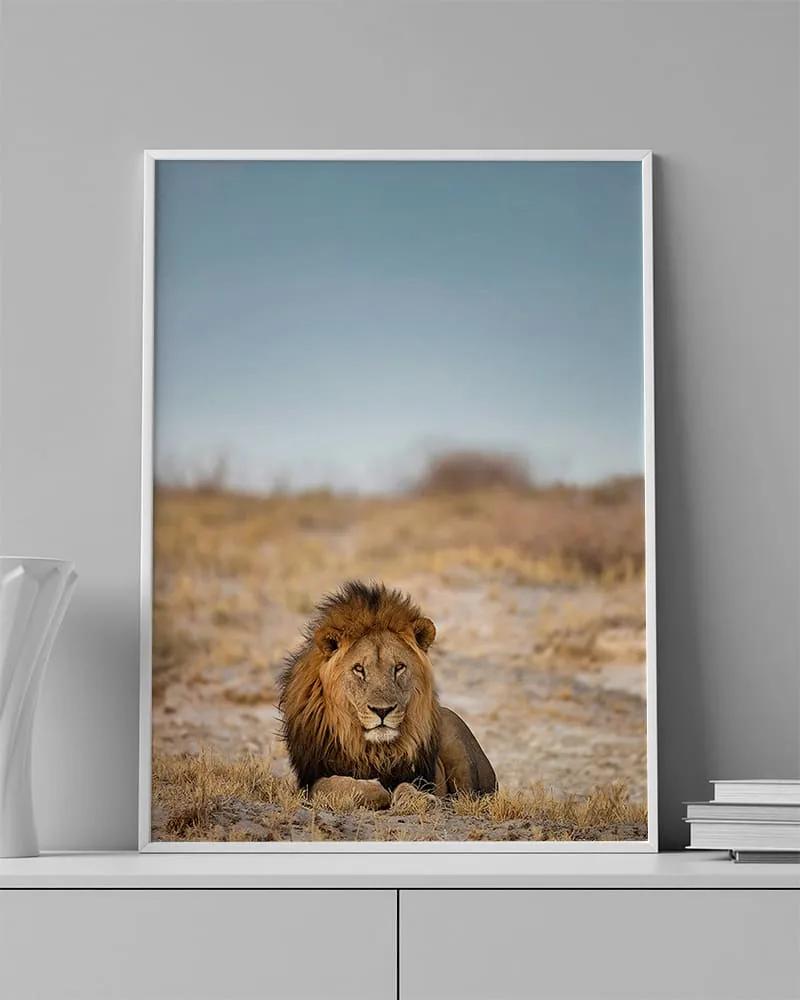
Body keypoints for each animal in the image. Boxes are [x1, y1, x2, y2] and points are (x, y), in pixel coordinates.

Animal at [278, 580, 497, 811]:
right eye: (359, 669)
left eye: (398, 667)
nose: (382, 711)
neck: (375, 751)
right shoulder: (310, 780)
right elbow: (339, 785)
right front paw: (376, 788)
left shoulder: (419, 775)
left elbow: (407, 786)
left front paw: (421, 800)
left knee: (467, 795)